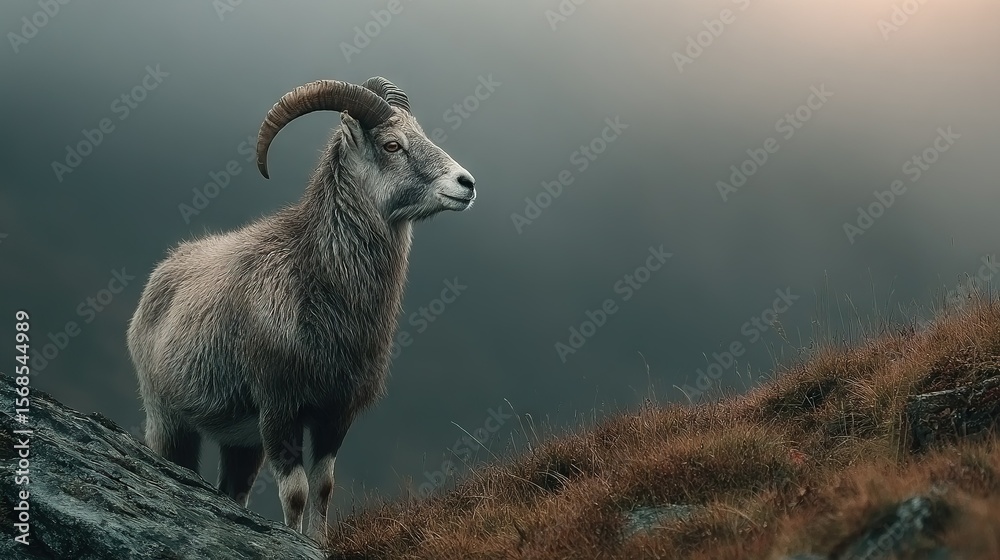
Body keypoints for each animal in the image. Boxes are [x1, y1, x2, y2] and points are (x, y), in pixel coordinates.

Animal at [127, 77, 476, 540]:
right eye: (392, 145)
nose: (466, 183)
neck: (317, 285)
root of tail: (162, 274)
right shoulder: (280, 411)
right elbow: (295, 492)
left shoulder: (335, 413)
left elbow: (324, 485)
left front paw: (318, 541)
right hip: (170, 422)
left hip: (241, 442)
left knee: (233, 490)